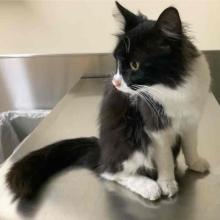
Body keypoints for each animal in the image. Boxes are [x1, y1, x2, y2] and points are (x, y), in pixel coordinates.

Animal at [2, 1, 211, 203]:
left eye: (135, 65)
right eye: (117, 62)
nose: (116, 82)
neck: (173, 87)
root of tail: (102, 150)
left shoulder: (191, 121)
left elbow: (191, 145)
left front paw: (195, 163)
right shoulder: (154, 127)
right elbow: (164, 157)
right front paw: (167, 183)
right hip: (128, 136)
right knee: (110, 172)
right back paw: (148, 187)